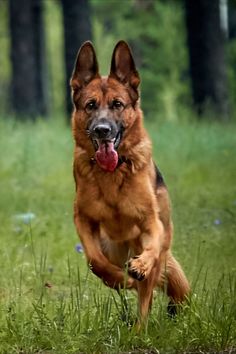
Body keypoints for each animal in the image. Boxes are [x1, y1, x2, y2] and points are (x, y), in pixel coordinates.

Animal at [70, 40, 190, 322]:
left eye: (117, 104)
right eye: (90, 105)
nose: (102, 130)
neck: (112, 174)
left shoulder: (150, 222)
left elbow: (151, 248)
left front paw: (139, 267)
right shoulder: (83, 219)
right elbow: (94, 261)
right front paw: (119, 278)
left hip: (159, 255)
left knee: (147, 299)